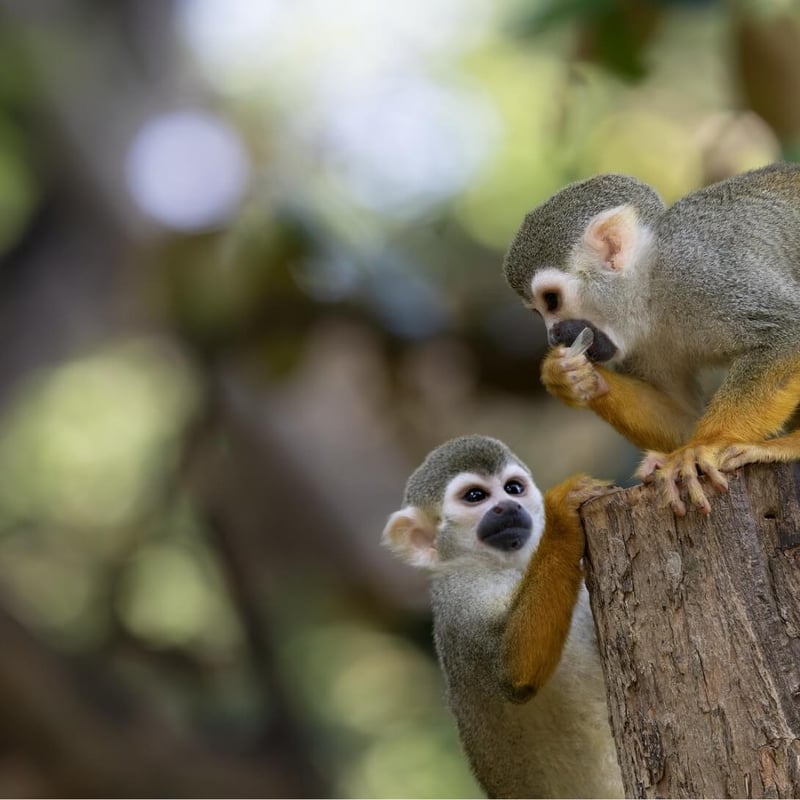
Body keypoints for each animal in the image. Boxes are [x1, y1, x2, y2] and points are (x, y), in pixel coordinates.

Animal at [382, 435, 623, 799]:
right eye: (475, 496)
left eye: (513, 488)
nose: (509, 507)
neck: (506, 567)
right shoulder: (458, 603)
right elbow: (512, 670)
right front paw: (560, 517)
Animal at [502, 162, 800, 515]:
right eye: (538, 312)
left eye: (551, 301)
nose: (554, 335)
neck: (650, 284)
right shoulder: (640, 342)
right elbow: (682, 416)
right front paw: (570, 377)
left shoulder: (703, 270)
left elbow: (787, 335)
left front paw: (702, 446)